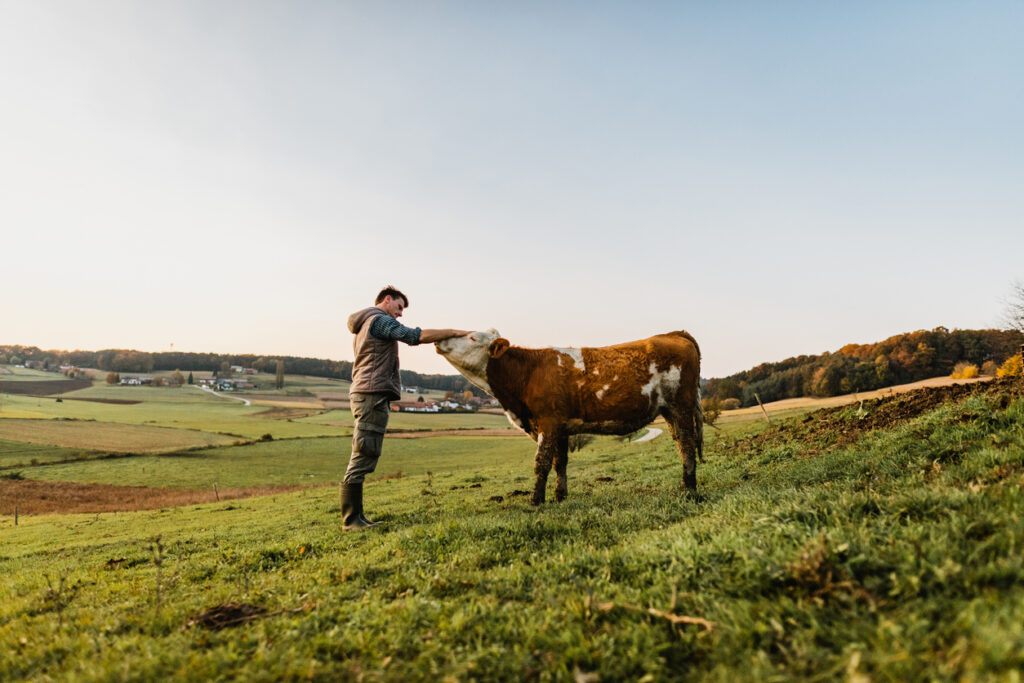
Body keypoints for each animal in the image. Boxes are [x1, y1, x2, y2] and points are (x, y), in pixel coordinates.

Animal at [435, 329, 702, 505]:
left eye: (472, 337)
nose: (439, 340)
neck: (527, 373)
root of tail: (673, 334)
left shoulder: (547, 422)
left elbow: (541, 462)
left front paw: (536, 500)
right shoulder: (560, 428)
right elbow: (559, 463)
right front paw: (559, 496)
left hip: (680, 406)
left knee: (687, 444)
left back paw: (689, 488)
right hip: (669, 411)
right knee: (681, 444)